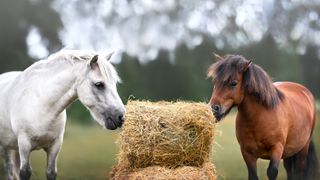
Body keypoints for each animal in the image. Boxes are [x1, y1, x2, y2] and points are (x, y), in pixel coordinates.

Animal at [0, 49, 125, 180]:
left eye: (115, 83)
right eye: (99, 84)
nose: (121, 117)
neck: (42, 106)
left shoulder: (55, 146)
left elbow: (51, 173)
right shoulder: (24, 144)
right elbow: (25, 173)